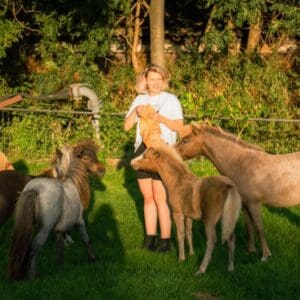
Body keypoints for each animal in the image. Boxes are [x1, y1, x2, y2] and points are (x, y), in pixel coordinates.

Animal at [131, 144, 241, 276]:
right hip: (229, 219)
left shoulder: (177, 214)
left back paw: (201, 270)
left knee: (212, 241)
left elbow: (180, 234)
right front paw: (191, 253)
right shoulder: (188, 216)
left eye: (145, 157)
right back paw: (230, 267)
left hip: (210, 221)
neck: (177, 181)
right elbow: (189, 233)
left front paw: (181, 258)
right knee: (231, 239)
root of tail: (229, 186)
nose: (132, 163)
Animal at [175, 123, 300, 262]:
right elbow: (249, 226)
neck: (241, 163)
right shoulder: (245, 204)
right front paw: (251, 250)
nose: (172, 151)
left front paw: (265, 255)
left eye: (185, 141)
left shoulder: (254, 203)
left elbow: (259, 227)